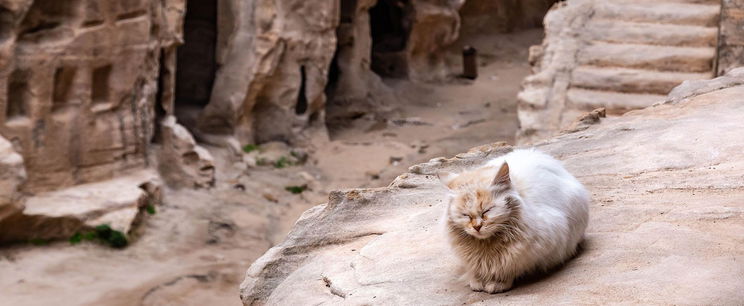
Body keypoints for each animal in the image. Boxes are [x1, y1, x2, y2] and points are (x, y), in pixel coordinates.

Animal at [438, 149, 588, 292]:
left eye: (487, 210)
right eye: (465, 215)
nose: (477, 227)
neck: (487, 245)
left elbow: (508, 269)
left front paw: (497, 284)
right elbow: (475, 270)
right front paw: (477, 282)